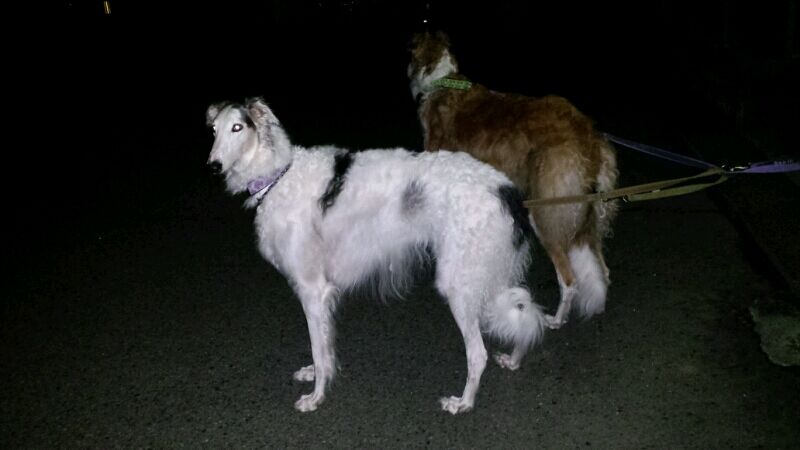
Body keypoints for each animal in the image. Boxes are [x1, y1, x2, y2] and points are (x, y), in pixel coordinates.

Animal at [206, 97, 546, 414]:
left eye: (238, 127)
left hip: (459, 285)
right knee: (523, 311)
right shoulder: (322, 295)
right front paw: (315, 375)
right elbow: (324, 347)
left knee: (478, 354)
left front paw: (316, 397)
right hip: (488, 274)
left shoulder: (313, 289)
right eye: (214, 130)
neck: (281, 174)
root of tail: (507, 192)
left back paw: (463, 403)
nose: (213, 165)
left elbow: (318, 348)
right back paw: (513, 359)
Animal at [408, 31, 619, 329]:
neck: (443, 81)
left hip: (546, 213)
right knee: (604, 269)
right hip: (588, 218)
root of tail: (590, 139)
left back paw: (555, 319)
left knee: (569, 280)